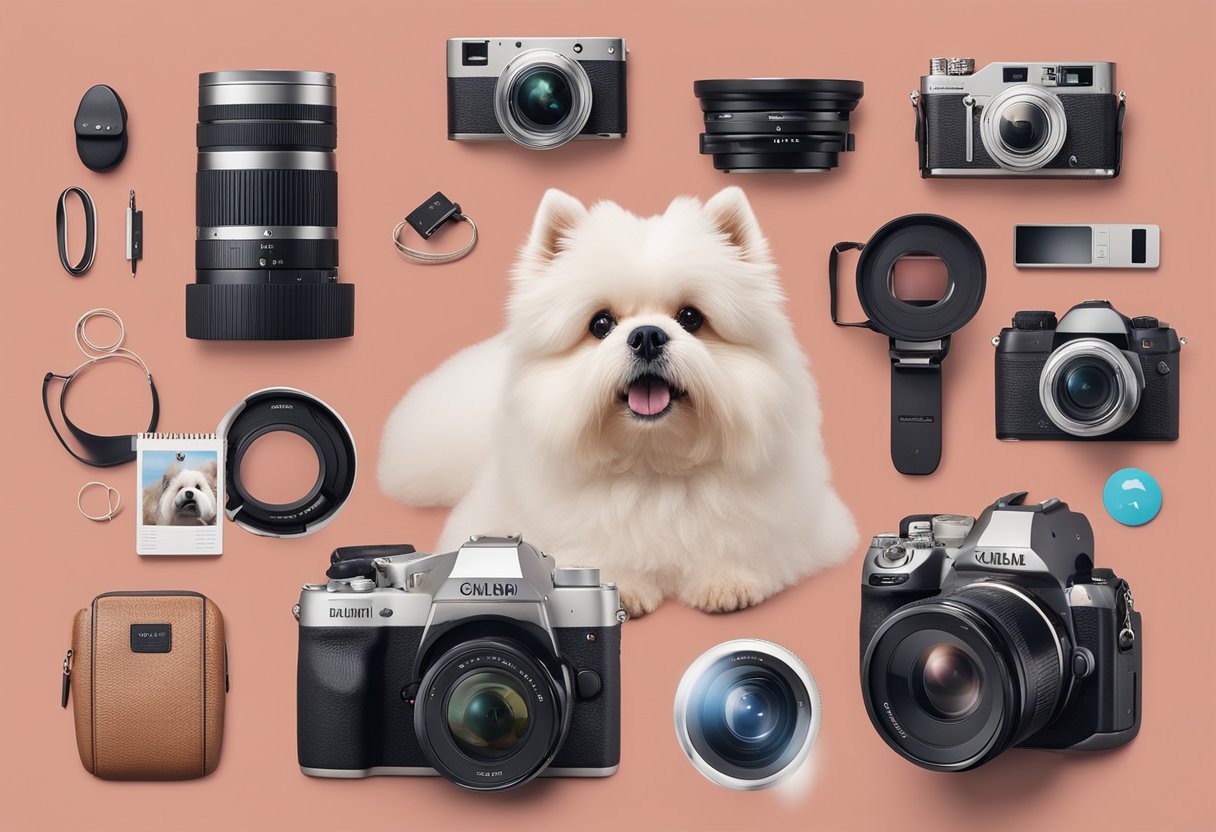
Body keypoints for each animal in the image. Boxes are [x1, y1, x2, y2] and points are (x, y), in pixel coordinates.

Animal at [379, 188, 856, 617]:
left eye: (690, 318)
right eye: (601, 324)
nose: (646, 335)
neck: (654, 465)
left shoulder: (806, 525)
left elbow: (755, 543)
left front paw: (727, 579)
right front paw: (617, 584)